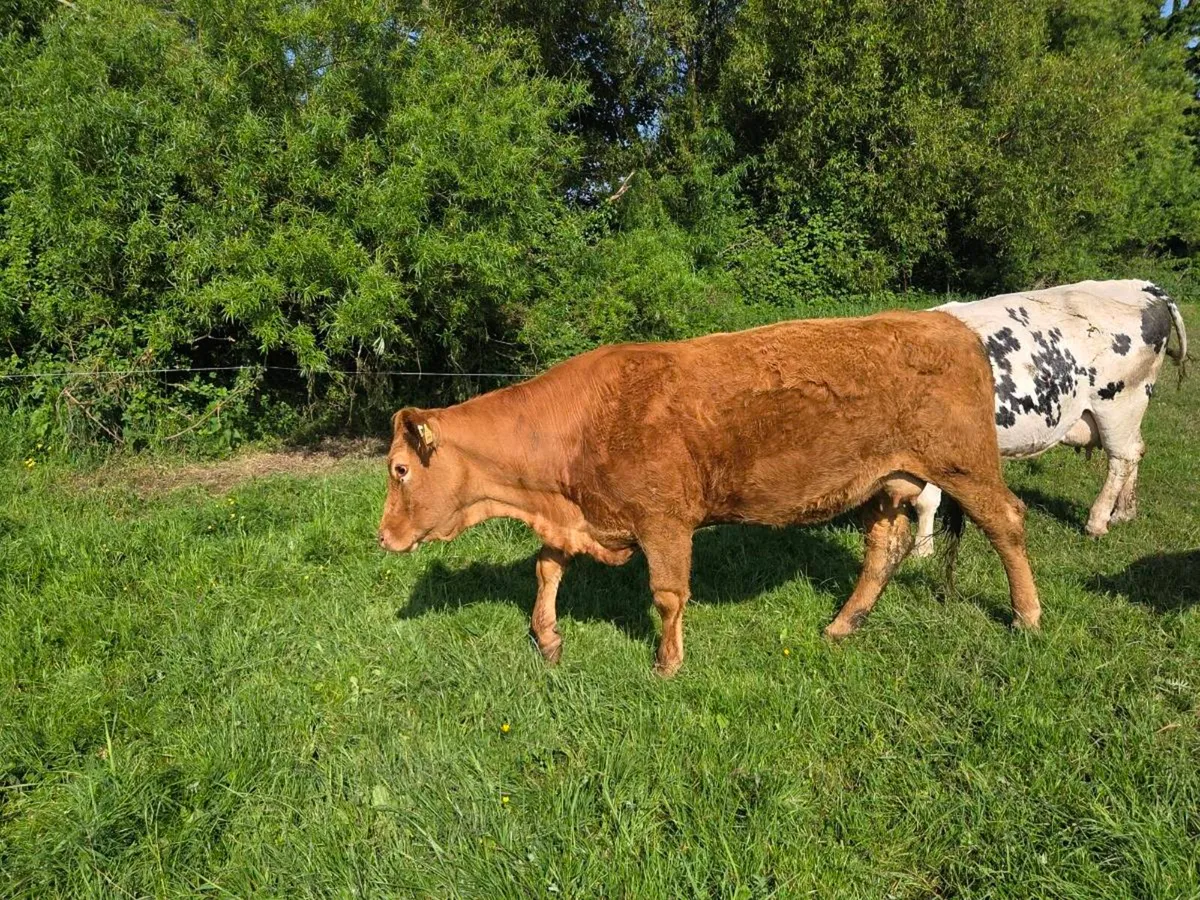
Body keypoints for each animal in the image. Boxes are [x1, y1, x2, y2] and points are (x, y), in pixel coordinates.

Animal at [378, 311, 1041, 676]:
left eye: (400, 469)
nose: (383, 536)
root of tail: (948, 325)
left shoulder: (664, 522)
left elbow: (668, 595)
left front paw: (667, 664)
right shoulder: (577, 515)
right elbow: (546, 569)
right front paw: (548, 639)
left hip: (964, 465)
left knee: (1007, 522)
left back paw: (1027, 617)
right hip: (884, 483)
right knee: (883, 549)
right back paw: (842, 624)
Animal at [911, 280, 1188, 557]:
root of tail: (1141, 285)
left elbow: (926, 500)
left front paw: (922, 549)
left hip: (1119, 404)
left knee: (1122, 458)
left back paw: (1097, 522)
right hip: (1129, 412)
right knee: (1136, 450)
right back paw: (1123, 513)